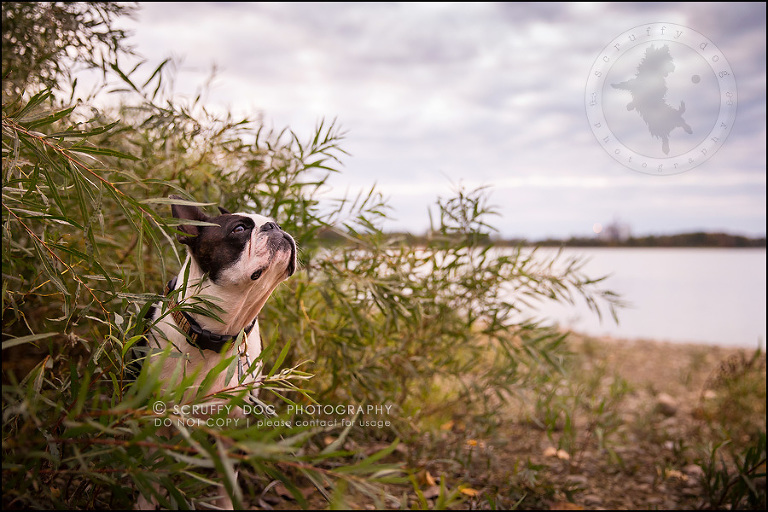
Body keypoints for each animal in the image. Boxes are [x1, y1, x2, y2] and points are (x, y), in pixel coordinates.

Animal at [135, 195, 296, 508]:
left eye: (276, 223)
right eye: (239, 229)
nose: (276, 227)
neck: (216, 335)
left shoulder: (232, 428)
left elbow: (228, 485)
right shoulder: (154, 420)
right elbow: (149, 474)